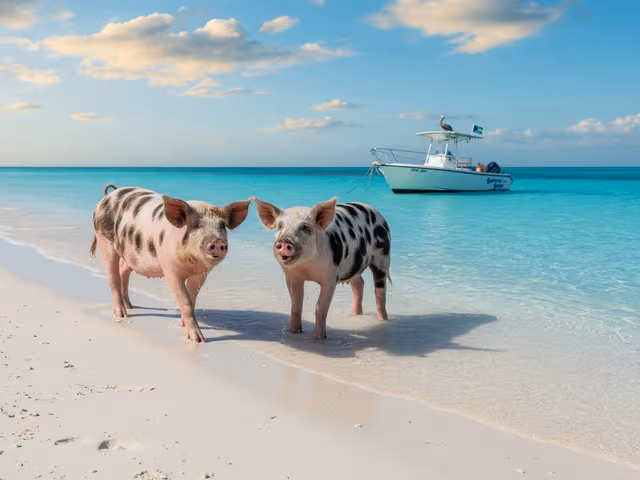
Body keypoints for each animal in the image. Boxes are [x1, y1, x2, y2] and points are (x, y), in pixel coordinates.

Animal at [90, 184, 251, 343]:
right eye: (196, 225)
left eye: (222, 226)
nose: (217, 241)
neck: (191, 263)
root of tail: (108, 196)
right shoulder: (170, 270)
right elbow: (186, 302)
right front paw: (198, 340)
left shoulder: (201, 274)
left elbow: (192, 299)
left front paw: (183, 325)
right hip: (104, 241)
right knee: (113, 277)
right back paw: (122, 315)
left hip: (130, 253)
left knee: (123, 270)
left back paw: (131, 306)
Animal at [254, 197, 391, 339]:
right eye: (280, 226)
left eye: (305, 227)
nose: (285, 241)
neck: (306, 266)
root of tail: (376, 212)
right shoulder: (292, 278)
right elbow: (295, 308)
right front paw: (292, 332)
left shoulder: (330, 278)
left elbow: (320, 309)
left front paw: (319, 338)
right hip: (354, 265)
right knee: (359, 284)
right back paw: (354, 314)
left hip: (383, 255)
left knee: (380, 292)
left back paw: (383, 320)